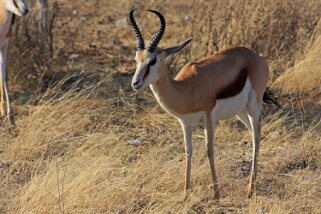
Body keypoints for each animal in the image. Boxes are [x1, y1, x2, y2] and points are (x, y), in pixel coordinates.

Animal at [129, 8, 278, 199]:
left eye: (152, 60)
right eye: (136, 59)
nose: (135, 83)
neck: (186, 88)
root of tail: (257, 58)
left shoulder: (209, 117)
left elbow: (209, 150)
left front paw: (216, 194)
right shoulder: (185, 123)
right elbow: (188, 151)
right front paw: (185, 193)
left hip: (253, 107)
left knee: (257, 136)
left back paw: (250, 189)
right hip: (241, 112)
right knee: (254, 135)